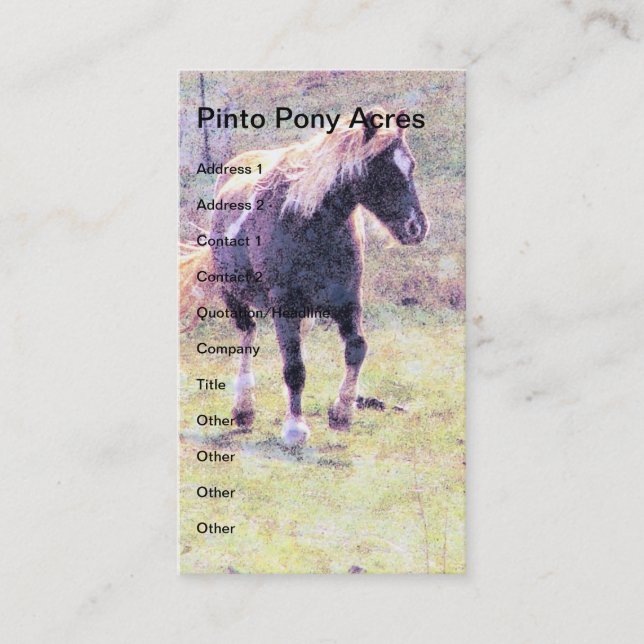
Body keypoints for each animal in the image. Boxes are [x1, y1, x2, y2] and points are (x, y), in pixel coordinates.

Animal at [180, 108, 429, 446]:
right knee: (247, 336)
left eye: (410, 165)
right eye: (381, 170)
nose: (417, 227)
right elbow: (294, 368)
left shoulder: (348, 298)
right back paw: (244, 409)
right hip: (234, 296)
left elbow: (356, 349)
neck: (309, 223)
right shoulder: (283, 305)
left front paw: (341, 414)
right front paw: (295, 427)